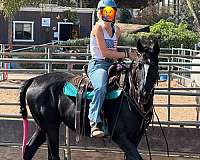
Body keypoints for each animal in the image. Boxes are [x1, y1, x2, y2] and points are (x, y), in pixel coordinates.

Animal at [19, 40, 159, 160]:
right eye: (139, 66)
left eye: (154, 66)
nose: (143, 94)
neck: (129, 97)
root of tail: (34, 79)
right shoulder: (121, 137)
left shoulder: (136, 137)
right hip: (50, 127)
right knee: (52, 155)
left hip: (43, 127)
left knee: (29, 149)